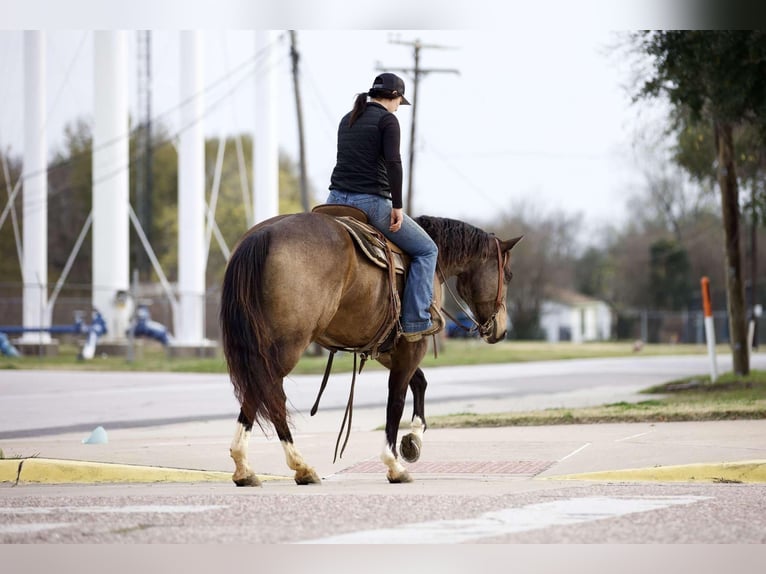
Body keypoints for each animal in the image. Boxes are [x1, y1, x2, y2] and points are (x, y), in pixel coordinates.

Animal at [219, 207, 524, 486]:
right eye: (508, 274)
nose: (501, 330)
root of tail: (262, 235)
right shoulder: (413, 344)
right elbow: (396, 399)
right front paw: (394, 464)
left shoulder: (388, 347)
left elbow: (419, 383)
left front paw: (412, 440)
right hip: (287, 344)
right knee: (269, 393)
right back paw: (298, 466)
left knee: (259, 392)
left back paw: (245, 468)